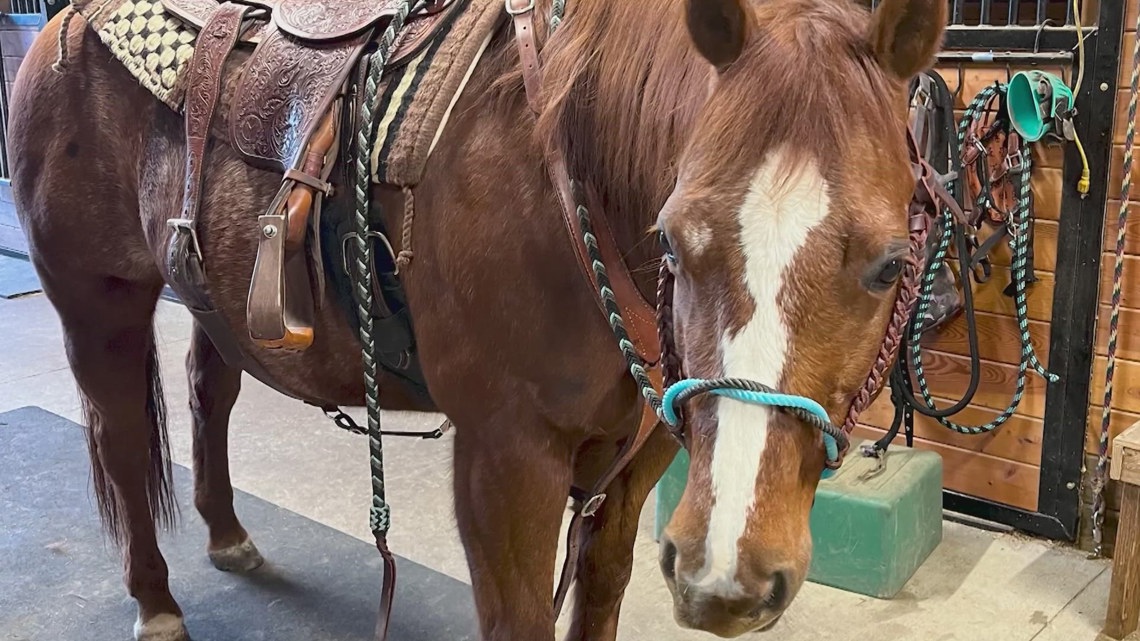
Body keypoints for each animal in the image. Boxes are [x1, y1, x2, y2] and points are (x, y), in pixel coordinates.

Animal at [8, 0, 948, 637]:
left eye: (888, 264)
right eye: (673, 239)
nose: (728, 576)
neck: (568, 177)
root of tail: (65, 23)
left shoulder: (637, 459)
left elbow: (599, 594)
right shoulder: (507, 460)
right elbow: (521, 617)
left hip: (211, 300)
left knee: (210, 394)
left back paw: (230, 536)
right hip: (97, 302)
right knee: (123, 439)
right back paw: (156, 601)